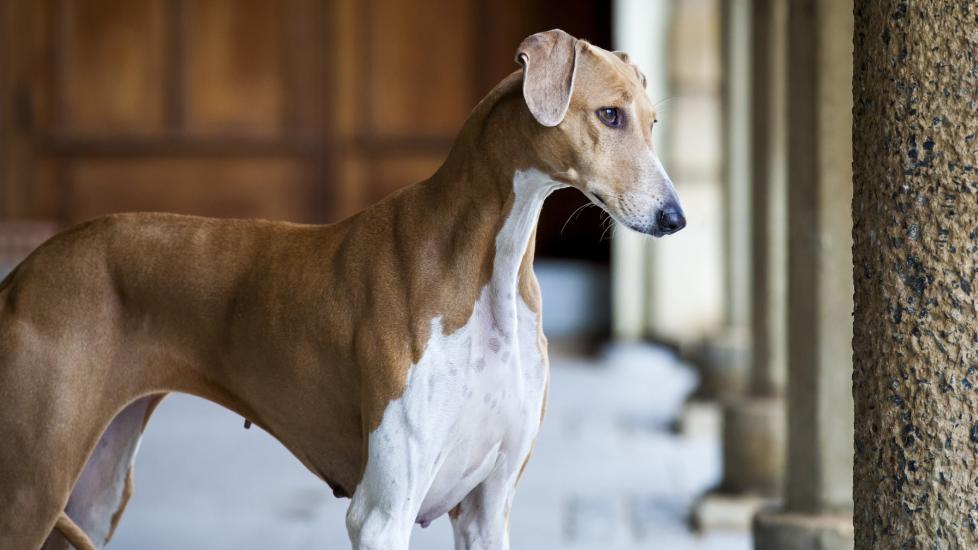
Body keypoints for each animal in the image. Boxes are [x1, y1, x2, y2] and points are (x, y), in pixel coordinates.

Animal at [0, 30, 684, 550]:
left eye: (654, 122)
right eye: (609, 115)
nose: (675, 218)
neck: (487, 268)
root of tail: (24, 270)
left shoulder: (486, 513)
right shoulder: (382, 515)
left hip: (93, 494)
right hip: (32, 492)